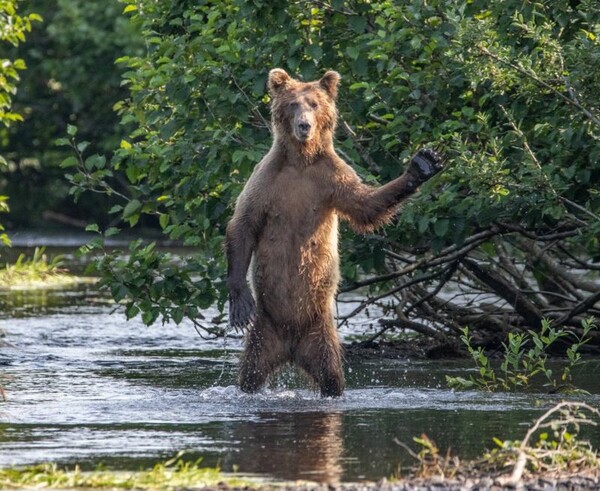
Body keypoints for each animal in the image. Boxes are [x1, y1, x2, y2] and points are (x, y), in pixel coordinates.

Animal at [224, 69, 440, 398]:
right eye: (293, 104)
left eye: (314, 104)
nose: (304, 125)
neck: (301, 161)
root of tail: (291, 347)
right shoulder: (267, 180)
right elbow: (243, 224)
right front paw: (240, 304)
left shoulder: (331, 178)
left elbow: (365, 205)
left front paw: (422, 165)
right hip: (265, 330)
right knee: (250, 373)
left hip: (320, 331)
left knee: (331, 374)